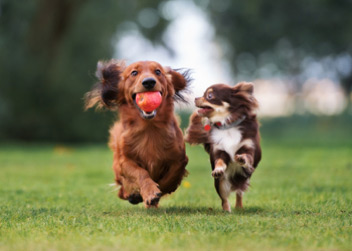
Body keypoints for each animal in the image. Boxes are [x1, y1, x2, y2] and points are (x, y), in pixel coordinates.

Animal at [85, 60, 191, 208]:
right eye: (134, 72)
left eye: (158, 71)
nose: (149, 82)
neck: (149, 128)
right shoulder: (124, 161)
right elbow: (141, 173)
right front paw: (150, 191)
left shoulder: (180, 158)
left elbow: (172, 175)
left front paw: (160, 189)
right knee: (122, 191)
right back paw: (133, 195)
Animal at [186, 82, 260, 212]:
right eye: (203, 94)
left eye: (209, 96)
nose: (195, 98)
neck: (227, 126)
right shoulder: (219, 150)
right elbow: (220, 161)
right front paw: (218, 170)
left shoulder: (249, 147)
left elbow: (247, 156)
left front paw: (242, 158)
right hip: (220, 183)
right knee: (224, 199)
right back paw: (226, 211)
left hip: (243, 178)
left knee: (239, 192)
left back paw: (239, 207)